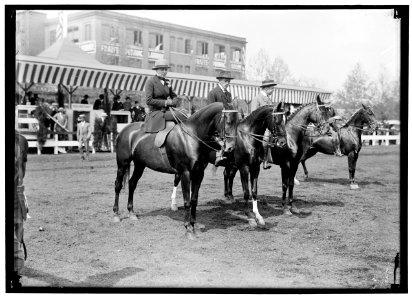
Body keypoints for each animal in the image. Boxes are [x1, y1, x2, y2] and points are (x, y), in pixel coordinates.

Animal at [112, 102, 238, 239]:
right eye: (228, 121)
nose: (231, 148)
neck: (191, 137)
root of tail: (125, 130)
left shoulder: (199, 173)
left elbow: (194, 200)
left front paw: (193, 226)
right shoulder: (185, 173)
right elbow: (187, 201)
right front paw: (188, 229)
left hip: (140, 165)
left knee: (132, 183)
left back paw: (131, 213)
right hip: (122, 164)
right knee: (118, 185)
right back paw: (116, 215)